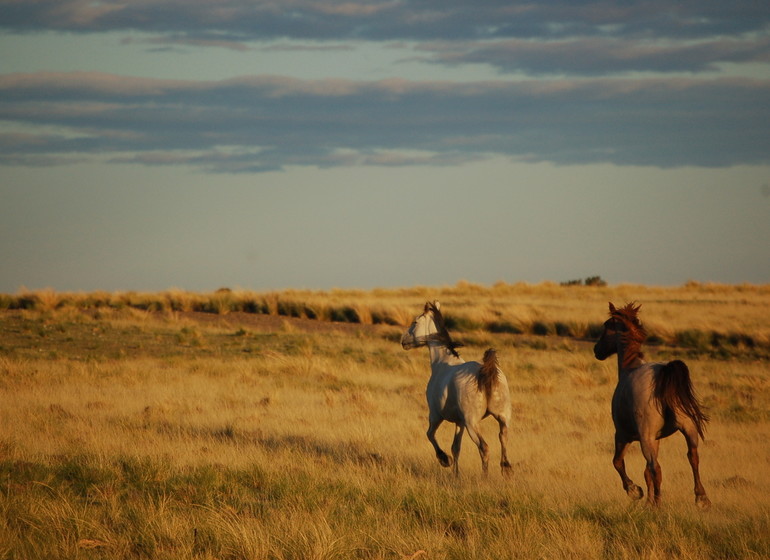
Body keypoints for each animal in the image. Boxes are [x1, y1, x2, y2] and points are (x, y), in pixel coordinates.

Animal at [400, 302, 512, 476]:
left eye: (415, 322)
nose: (403, 340)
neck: (442, 363)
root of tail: (486, 372)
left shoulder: (435, 415)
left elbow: (430, 435)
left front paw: (445, 460)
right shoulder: (459, 422)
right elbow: (456, 447)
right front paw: (455, 474)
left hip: (472, 423)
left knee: (484, 448)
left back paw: (485, 477)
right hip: (502, 417)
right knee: (503, 437)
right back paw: (506, 469)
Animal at [592, 304, 708, 510]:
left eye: (606, 326)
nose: (596, 350)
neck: (629, 368)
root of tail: (665, 373)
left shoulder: (623, 435)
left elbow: (618, 462)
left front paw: (635, 492)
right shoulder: (656, 439)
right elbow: (646, 473)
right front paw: (647, 501)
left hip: (645, 437)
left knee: (656, 468)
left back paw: (658, 505)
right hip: (688, 428)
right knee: (693, 457)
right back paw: (701, 498)